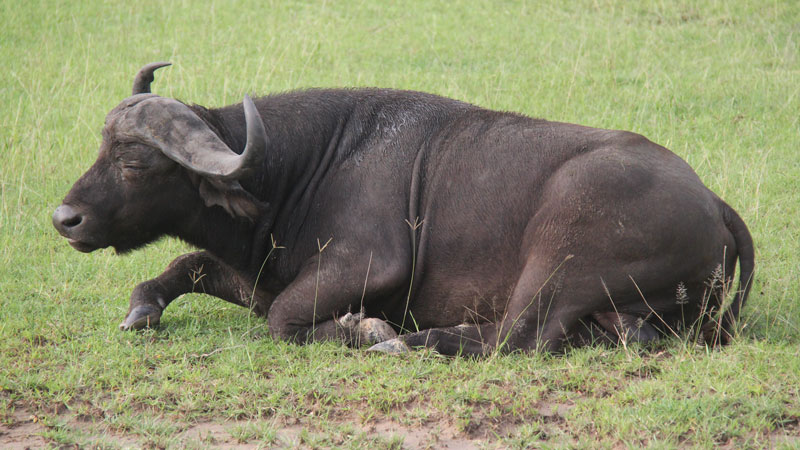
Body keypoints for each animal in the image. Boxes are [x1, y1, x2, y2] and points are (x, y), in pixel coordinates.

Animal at [53, 62, 752, 356]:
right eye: (102, 145)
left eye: (136, 162)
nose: (66, 220)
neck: (295, 175)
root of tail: (714, 202)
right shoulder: (258, 273)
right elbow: (184, 267)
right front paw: (141, 310)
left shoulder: (370, 265)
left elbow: (281, 319)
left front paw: (366, 330)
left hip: (559, 255)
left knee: (519, 336)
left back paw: (412, 340)